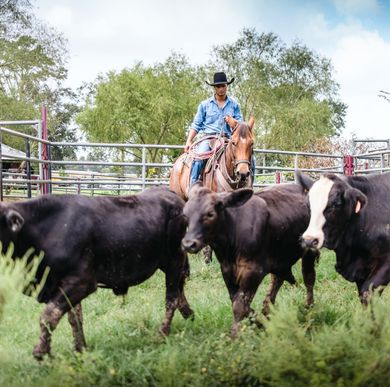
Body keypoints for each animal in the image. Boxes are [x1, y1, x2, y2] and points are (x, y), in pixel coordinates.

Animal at [0, 188, 194, 360]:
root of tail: (170, 193)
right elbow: (74, 318)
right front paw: (80, 349)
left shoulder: (82, 282)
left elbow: (48, 315)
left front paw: (41, 351)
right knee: (179, 290)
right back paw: (188, 313)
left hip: (175, 259)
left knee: (171, 298)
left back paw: (162, 334)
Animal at [181, 185, 318, 336]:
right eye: (185, 214)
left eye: (210, 214)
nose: (188, 244)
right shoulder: (227, 270)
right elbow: (238, 302)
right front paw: (259, 322)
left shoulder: (253, 271)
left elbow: (239, 305)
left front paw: (234, 334)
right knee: (277, 281)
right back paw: (267, 312)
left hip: (310, 251)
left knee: (309, 279)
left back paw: (309, 309)